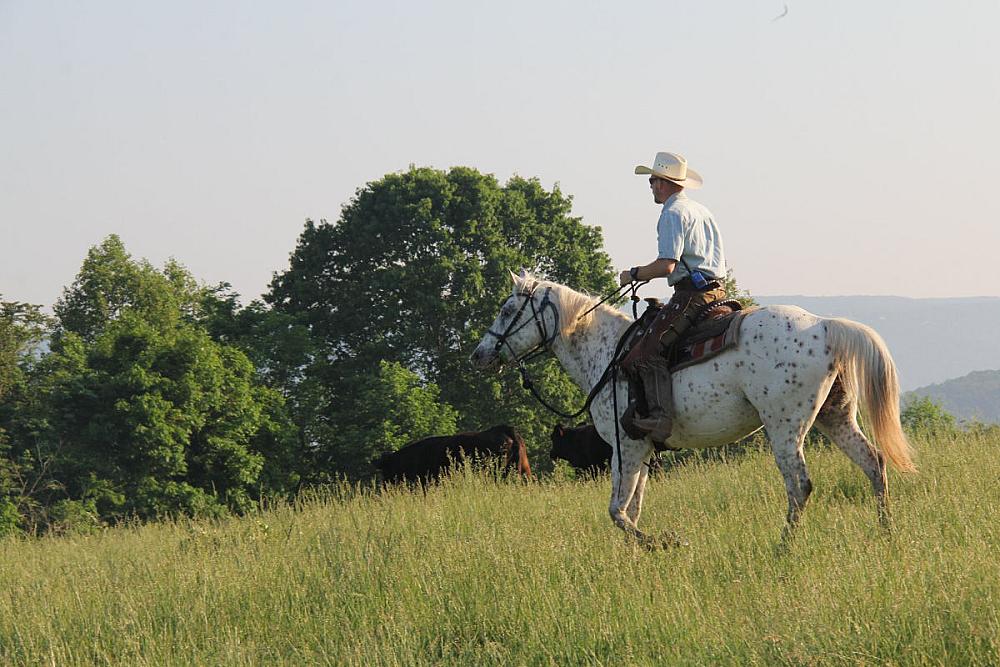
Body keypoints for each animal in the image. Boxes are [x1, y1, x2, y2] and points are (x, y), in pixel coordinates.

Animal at [471, 271, 915, 547]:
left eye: (507, 311)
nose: (479, 355)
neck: (607, 353)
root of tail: (824, 325)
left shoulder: (625, 448)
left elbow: (617, 512)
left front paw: (666, 543)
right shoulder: (642, 451)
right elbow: (631, 510)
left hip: (785, 427)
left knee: (800, 486)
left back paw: (783, 548)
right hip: (835, 416)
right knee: (873, 462)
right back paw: (887, 533)